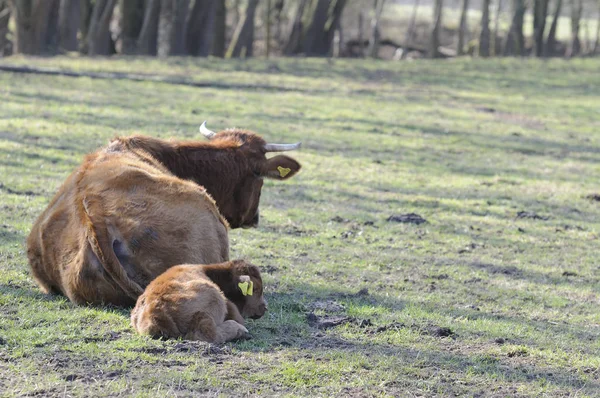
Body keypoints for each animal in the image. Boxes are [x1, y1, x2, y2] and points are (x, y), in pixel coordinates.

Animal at [131, 262, 268, 342]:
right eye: (255, 289)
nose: (264, 307)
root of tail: (156, 309)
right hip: (214, 296)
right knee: (207, 333)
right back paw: (241, 332)